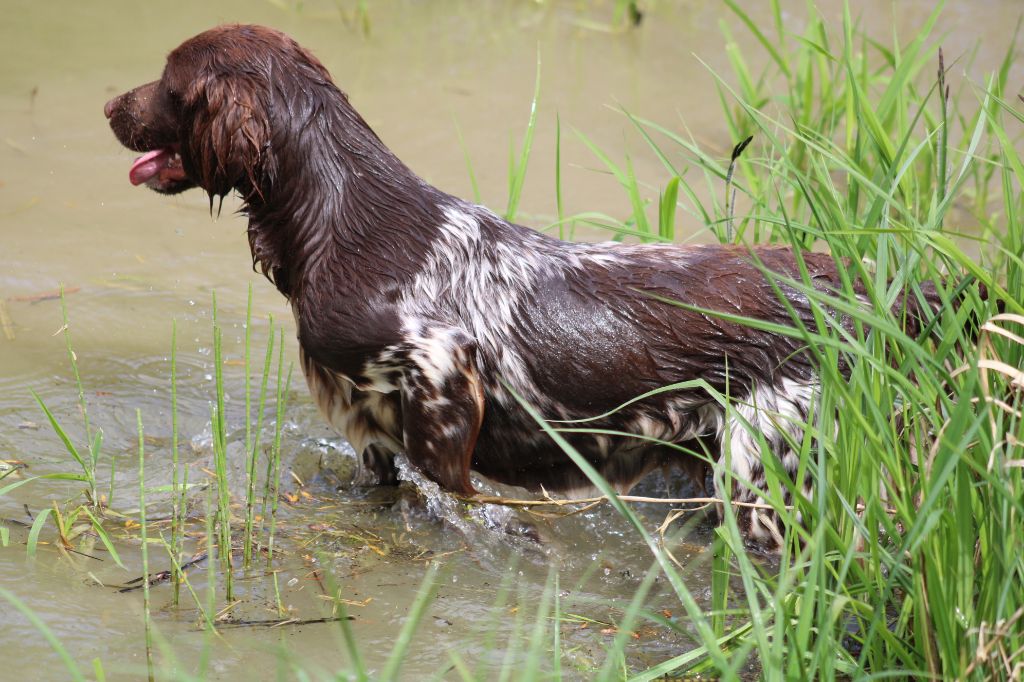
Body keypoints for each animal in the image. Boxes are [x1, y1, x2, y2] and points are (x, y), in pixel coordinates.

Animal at [103, 25, 950, 548]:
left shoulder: (441, 374)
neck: (338, 216)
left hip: (765, 474)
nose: (109, 104)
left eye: (169, 82)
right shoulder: (369, 433)